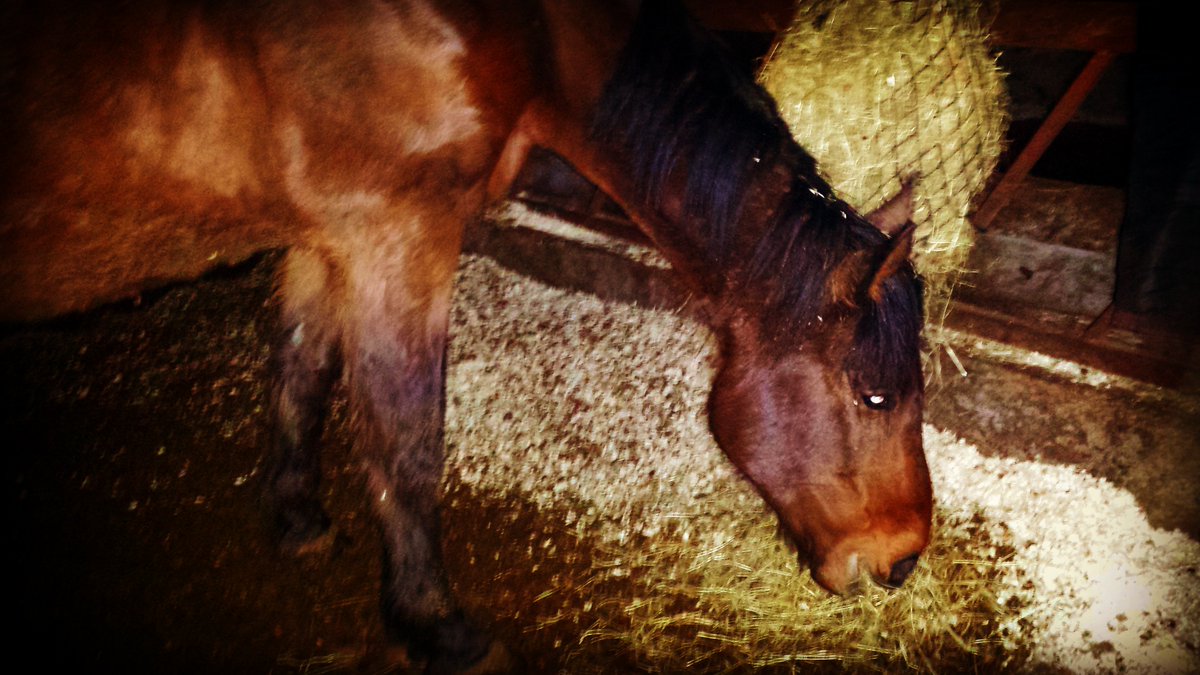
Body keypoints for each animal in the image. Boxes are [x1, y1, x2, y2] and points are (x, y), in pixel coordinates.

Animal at [1, 0, 931, 671]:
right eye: (874, 394)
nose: (903, 561)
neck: (523, 30)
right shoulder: (398, 232)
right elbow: (406, 440)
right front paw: (436, 625)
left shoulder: (323, 235)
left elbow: (301, 367)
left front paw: (296, 517)